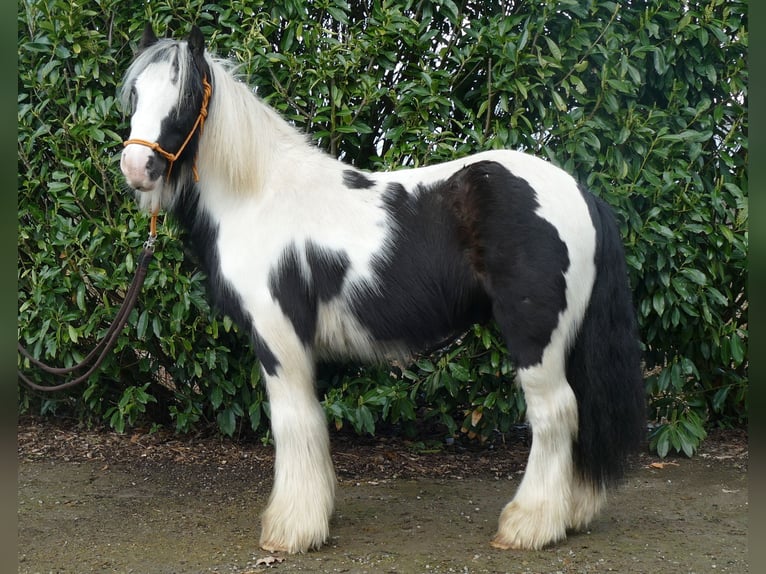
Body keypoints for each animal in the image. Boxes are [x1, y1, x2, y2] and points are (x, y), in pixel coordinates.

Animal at [120, 24, 648, 556]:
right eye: (137, 93)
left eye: (185, 97)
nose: (137, 166)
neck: (258, 196)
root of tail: (580, 193)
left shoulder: (277, 335)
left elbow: (293, 422)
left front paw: (291, 528)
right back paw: (570, 513)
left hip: (535, 336)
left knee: (555, 413)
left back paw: (529, 525)